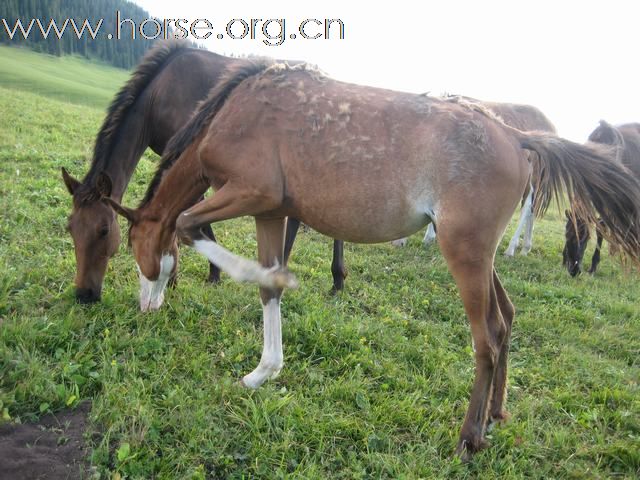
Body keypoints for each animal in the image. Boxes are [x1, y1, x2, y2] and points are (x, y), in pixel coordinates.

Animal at [60, 42, 348, 304]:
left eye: (104, 230)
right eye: (70, 228)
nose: (84, 294)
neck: (159, 95)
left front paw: (195, 275)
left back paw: (335, 279)